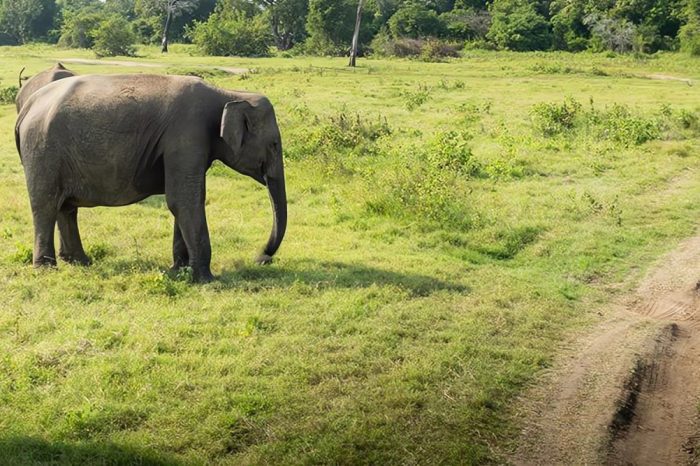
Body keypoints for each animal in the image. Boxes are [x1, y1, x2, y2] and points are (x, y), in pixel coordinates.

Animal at [15, 74, 288, 282]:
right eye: (274, 145)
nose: (261, 257)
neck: (226, 94)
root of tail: (27, 106)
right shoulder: (187, 135)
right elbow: (184, 201)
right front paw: (206, 280)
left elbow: (184, 201)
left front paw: (179, 271)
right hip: (42, 150)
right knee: (46, 206)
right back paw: (46, 269)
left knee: (66, 207)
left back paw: (80, 261)